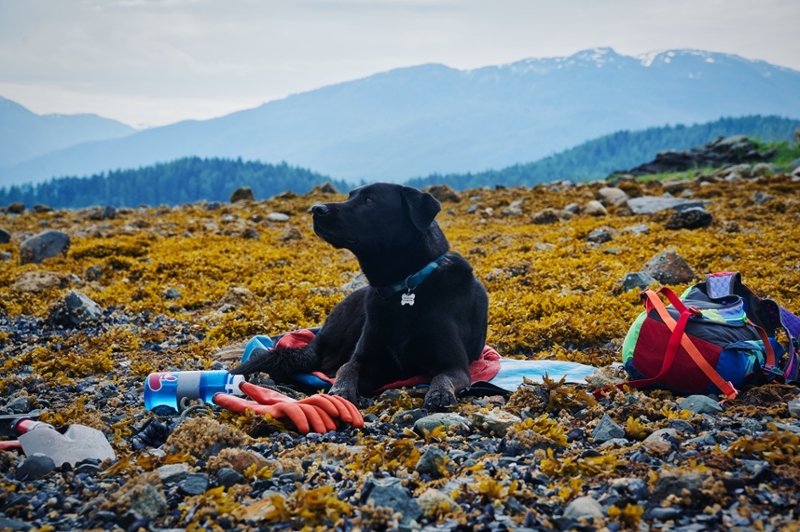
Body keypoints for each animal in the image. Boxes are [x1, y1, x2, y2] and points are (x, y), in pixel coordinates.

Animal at [231, 184, 488, 412]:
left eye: (369, 200)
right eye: (350, 196)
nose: (316, 209)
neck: (407, 286)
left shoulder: (454, 365)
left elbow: (442, 378)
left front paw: (438, 394)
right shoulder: (366, 359)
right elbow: (347, 369)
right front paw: (340, 392)